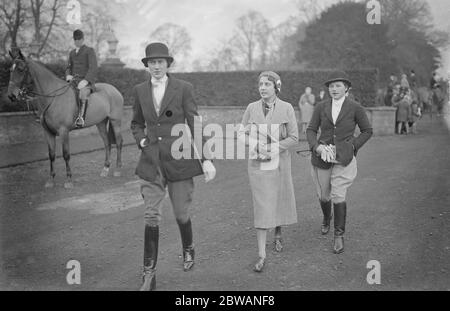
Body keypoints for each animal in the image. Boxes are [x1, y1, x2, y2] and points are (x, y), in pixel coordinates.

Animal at [5, 50, 125, 189]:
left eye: (21, 69)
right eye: (10, 70)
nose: (11, 95)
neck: (53, 97)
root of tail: (114, 89)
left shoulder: (64, 131)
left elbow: (66, 154)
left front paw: (68, 180)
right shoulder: (48, 132)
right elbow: (51, 155)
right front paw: (51, 180)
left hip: (116, 121)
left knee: (119, 142)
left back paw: (118, 169)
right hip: (100, 123)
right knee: (107, 143)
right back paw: (105, 169)